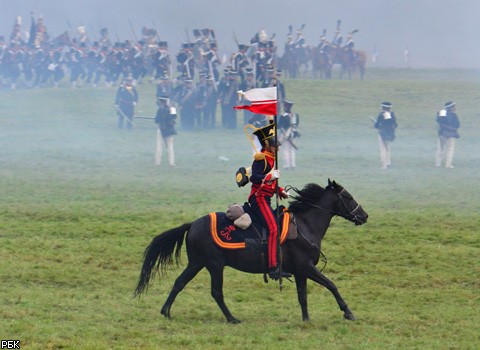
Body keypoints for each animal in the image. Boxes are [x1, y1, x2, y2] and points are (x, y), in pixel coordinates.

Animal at [134, 180, 368, 322]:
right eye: (348, 197)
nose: (364, 216)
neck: (305, 225)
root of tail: (192, 225)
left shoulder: (301, 271)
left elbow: (303, 296)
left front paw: (306, 319)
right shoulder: (307, 267)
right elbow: (331, 284)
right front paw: (348, 312)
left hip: (197, 263)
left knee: (179, 282)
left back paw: (166, 312)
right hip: (214, 266)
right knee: (216, 292)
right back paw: (232, 319)